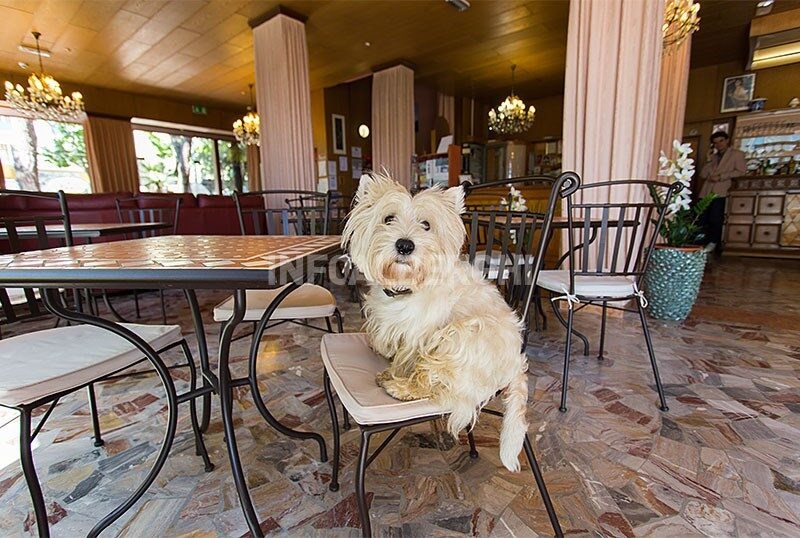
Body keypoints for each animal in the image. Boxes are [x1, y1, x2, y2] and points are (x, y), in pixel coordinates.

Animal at [344, 172, 532, 468]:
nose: (405, 245)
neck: (405, 289)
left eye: (426, 225)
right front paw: (381, 349)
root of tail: (516, 364)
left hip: (461, 336)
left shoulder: (418, 334)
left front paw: (398, 372)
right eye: (388, 218)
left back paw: (397, 385)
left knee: (436, 379)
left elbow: (410, 360)